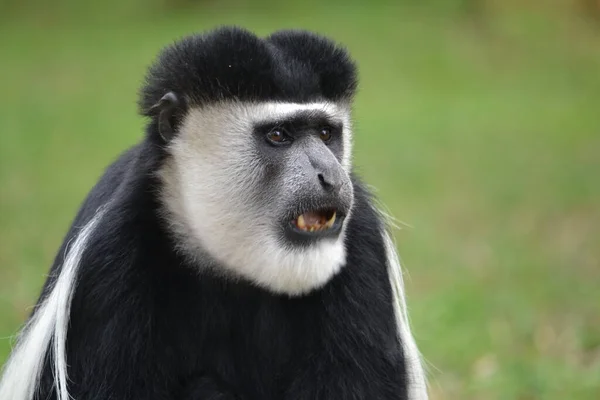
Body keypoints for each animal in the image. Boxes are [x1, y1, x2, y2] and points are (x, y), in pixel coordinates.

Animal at [0, 26, 426, 398]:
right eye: (279, 135)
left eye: (325, 134)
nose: (330, 176)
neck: (231, 264)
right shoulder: (108, 258)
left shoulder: (363, 244)